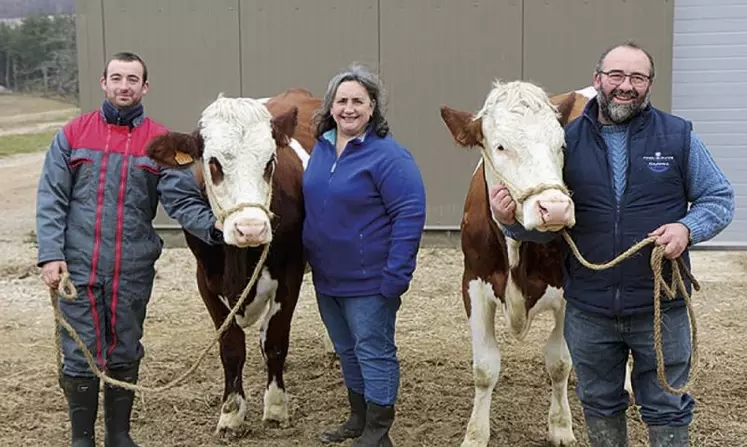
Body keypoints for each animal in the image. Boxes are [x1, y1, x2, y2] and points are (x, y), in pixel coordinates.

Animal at [146, 87, 322, 438]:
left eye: (270, 161)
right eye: (213, 163)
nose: (251, 228)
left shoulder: (290, 273)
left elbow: (276, 339)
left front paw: (276, 408)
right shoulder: (205, 281)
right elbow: (231, 347)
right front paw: (231, 413)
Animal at [438, 81, 596, 447]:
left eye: (561, 144)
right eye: (500, 146)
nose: (555, 208)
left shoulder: (569, 294)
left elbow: (559, 362)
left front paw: (561, 427)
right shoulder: (473, 285)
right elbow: (484, 368)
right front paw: (475, 434)